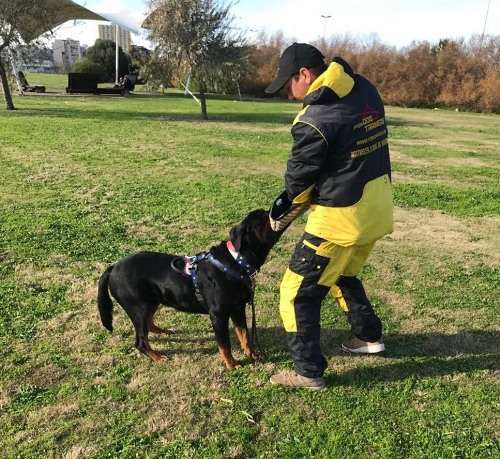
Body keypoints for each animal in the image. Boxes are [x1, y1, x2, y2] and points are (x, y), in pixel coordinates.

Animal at [96, 208, 284, 370]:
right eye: (262, 215)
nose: (273, 209)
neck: (236, 261)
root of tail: (113, 268)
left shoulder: (238, 309)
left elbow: (245, 336)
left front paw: (253, 356)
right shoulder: (218, 315)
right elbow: (225, 344)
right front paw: (232, 364)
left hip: (152, 301)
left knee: (149, 324)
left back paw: (162, 332)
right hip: (138, 308)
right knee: (141, 341)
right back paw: (158, 356)